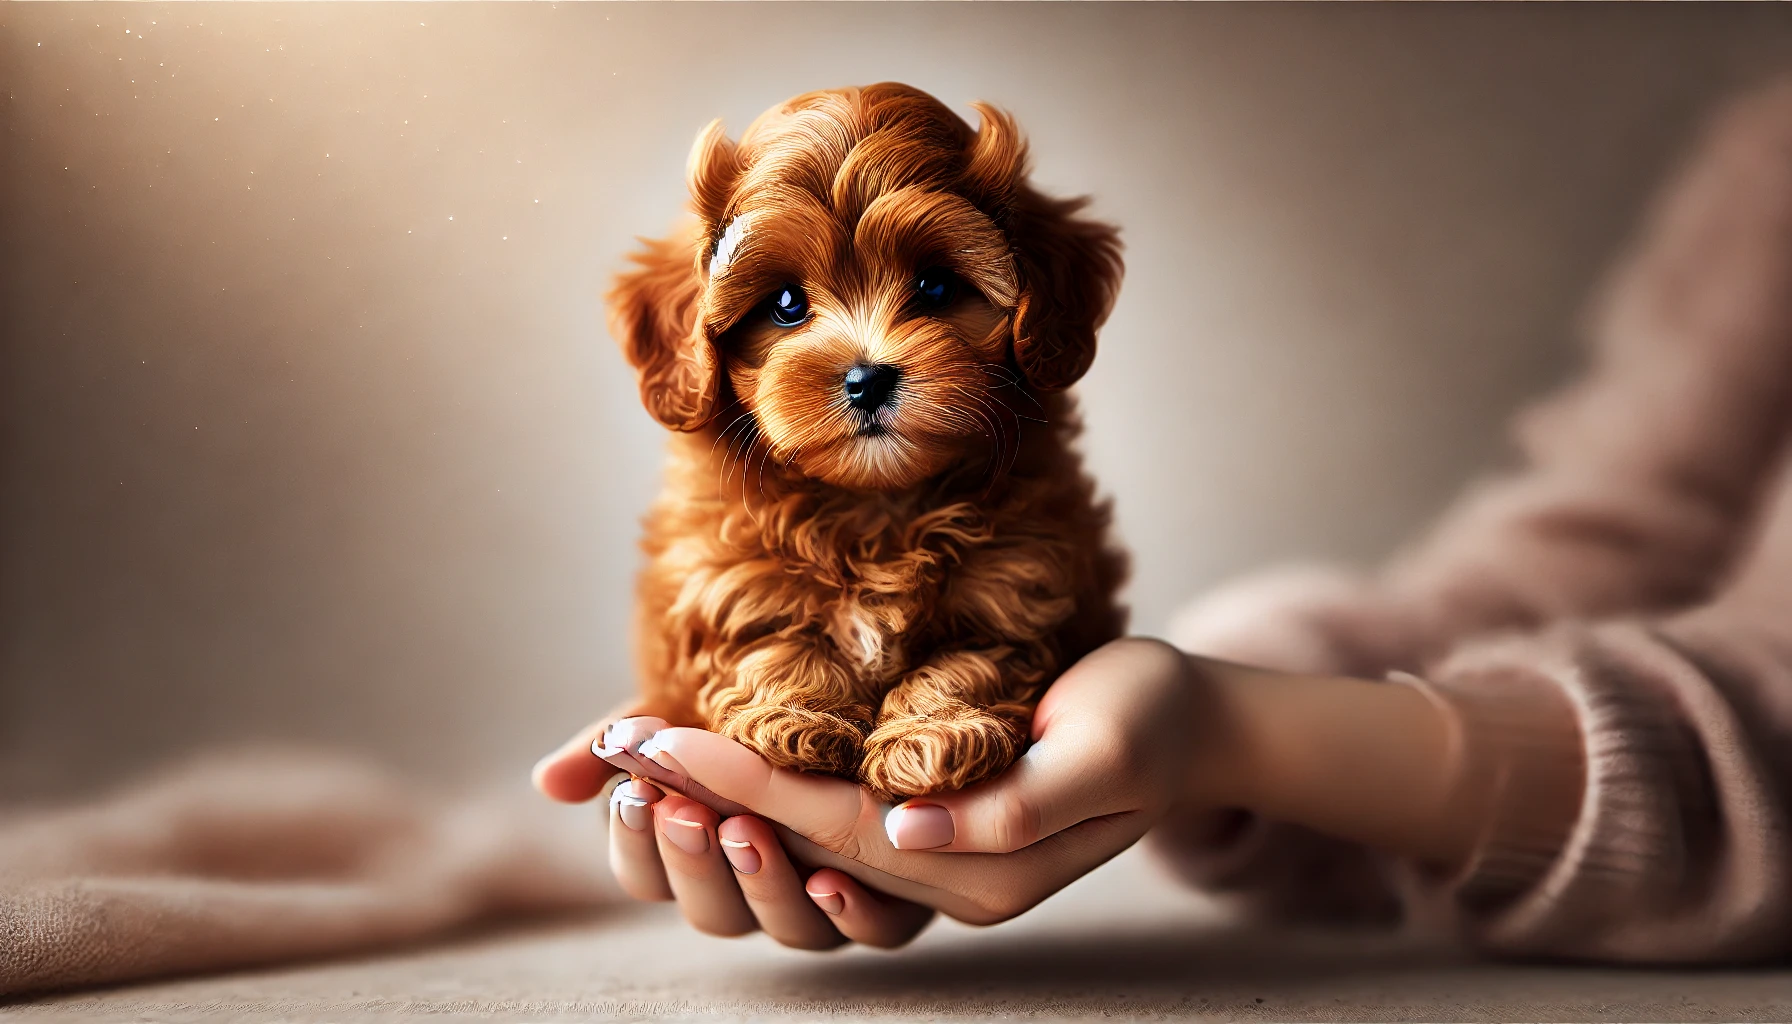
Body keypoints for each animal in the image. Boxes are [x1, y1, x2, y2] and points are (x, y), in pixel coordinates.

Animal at [609, 82, 1125, 799]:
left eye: (936, 286)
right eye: (786, 304)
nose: (867, 378)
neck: (876, 503)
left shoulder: (1016, 591)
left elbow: (966, 663)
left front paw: (930, 737)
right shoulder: (724, 586)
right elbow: (772, 648)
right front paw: (799, 717)